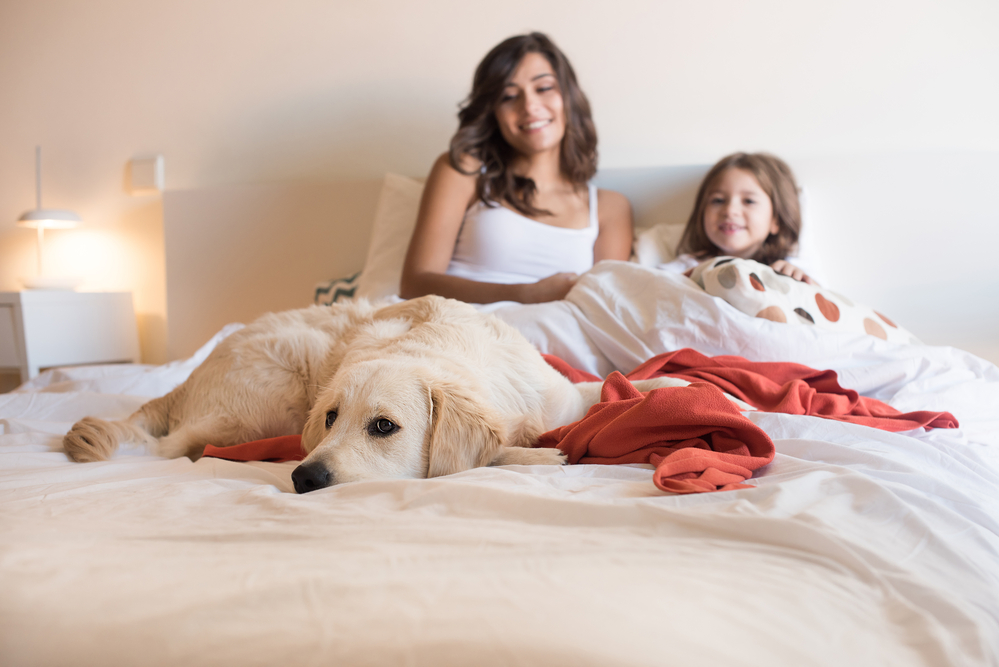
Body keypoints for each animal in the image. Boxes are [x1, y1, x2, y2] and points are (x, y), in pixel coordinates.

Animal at [60, 294, 688, 494]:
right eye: (331, 418)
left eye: (382, 426)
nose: (304, 477)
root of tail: (186, 380)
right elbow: (489, 455)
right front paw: (536, 455)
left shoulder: (561, 396)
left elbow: (604, 387)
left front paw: (671, 383)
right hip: (276, 390)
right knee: (178, 445)